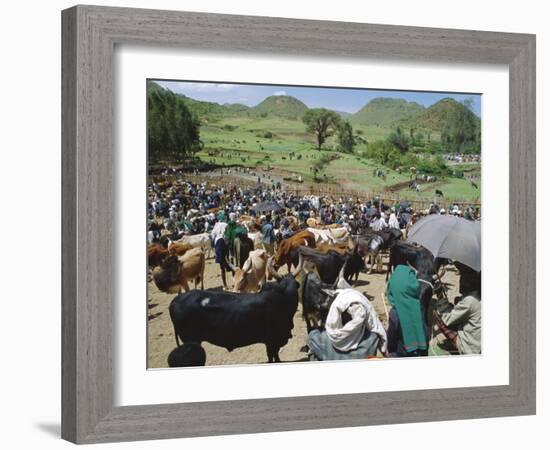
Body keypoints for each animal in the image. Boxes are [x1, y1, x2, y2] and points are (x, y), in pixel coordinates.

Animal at [170, 258, 304, 360]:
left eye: (295, 285)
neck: (283, 301)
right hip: (191, 341)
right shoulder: (272, 342)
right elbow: (274, 358)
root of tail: (175, 300)